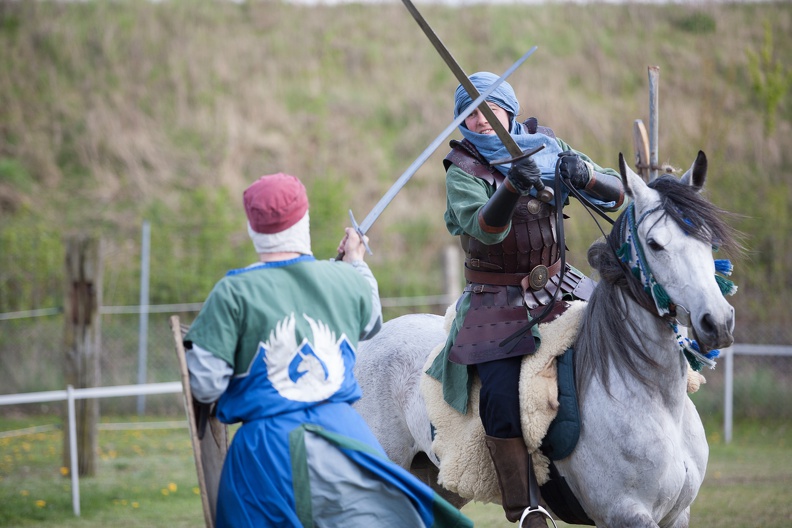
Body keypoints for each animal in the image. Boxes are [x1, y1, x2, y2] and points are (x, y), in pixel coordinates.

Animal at [356, 151, 740, 524]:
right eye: (655, 244)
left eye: (708, 240)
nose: (717, 322)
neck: (648, 393)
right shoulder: (624, 513)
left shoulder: (677, 515)